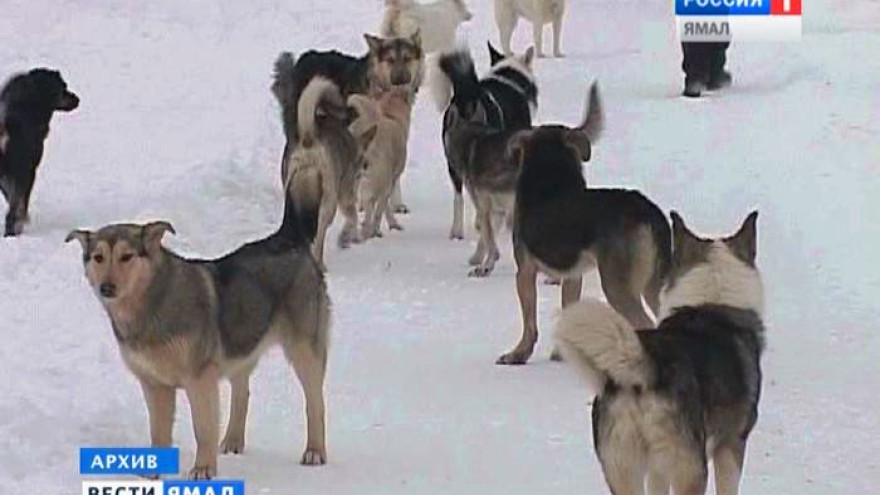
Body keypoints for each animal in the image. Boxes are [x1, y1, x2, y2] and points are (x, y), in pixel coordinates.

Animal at [0, 68, 79, 236]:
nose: (77, 99)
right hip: (22, 172)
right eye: (63, 87)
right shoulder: (29, 171)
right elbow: (20, 203)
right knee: (12, 213)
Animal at [67, 199, 332, 480]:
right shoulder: (154, 384)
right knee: (242, 394)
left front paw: (204, 469)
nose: (106, 288)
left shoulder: (200, 380)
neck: (153, 302)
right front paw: (153, 472)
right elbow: (158, 431)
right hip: (240, 343)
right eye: (98, 258)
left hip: (304, 351)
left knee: (315, 403)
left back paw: (314, 451)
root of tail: (288, 238)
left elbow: (203, 428)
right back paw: (233, 441)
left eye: (126, 257)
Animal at [496, 83, 672, 366]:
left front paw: (518, 354)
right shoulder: (572, 276)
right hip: (653, 283)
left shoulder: (525, 271)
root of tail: (646, 211)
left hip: (617, 284)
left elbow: (529, 323)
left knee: (645, 323)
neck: (551, 178)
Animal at [556, 212, 764, 495]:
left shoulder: (657, 469)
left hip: (623, 467)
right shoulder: (732, 444)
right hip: (691, 469)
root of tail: (646, 369)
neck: (711, 304)